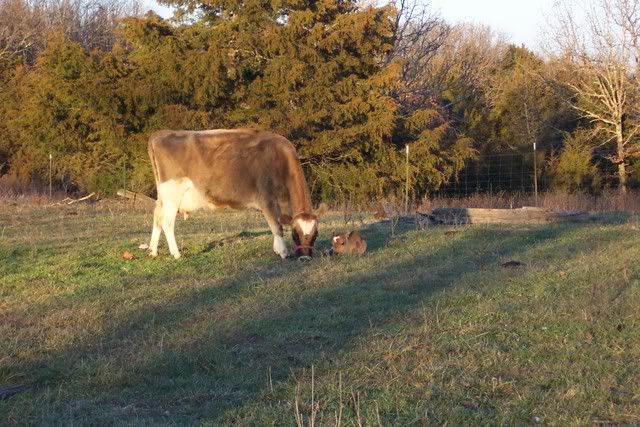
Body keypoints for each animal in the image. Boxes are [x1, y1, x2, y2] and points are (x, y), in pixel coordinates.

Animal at [146, 129, 319, 260]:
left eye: (315, 235)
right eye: (295, 234)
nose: (305, 257)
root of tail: (161, 133)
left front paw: (277, 249)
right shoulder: (266, 199)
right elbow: (277, 226)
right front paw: (283, 252)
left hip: (163, 196)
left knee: (157, 216)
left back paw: (153, 251)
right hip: (172, 194)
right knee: (167, 222)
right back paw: (176, 254)